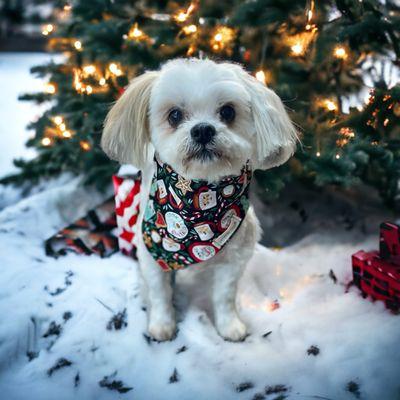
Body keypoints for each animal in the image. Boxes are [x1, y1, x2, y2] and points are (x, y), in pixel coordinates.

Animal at [102, 57, 296, 342]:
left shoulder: (233, 261)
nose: (203, 130)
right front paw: (162, 325)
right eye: (174, 115)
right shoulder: (151, 253)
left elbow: (225, 297)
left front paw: (229, 326)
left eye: (228, 112)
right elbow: (160, 293)